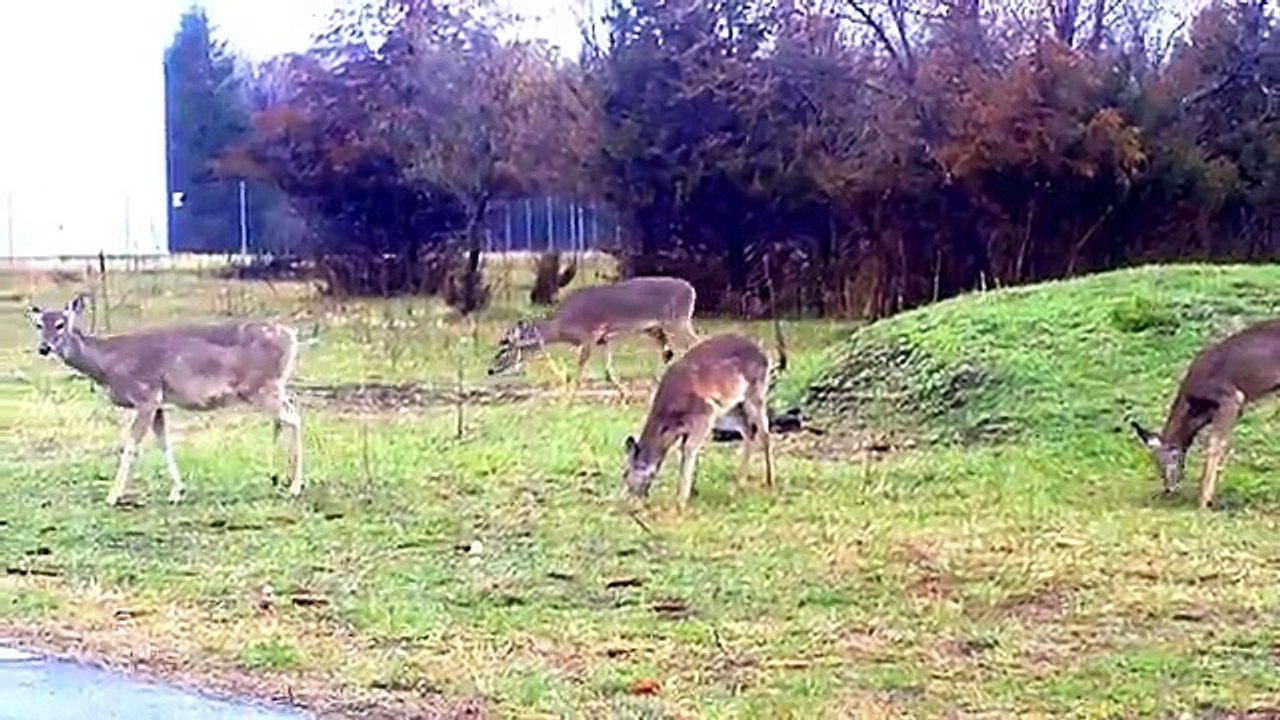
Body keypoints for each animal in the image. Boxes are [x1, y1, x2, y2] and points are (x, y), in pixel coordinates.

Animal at [28, 291, 305, 507]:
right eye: (39, 325)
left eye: (61, 323)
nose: (44, 348)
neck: (109, 364)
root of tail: (291, 336)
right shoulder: (159, 402)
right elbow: (164, 444)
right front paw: (177, 491)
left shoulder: (145, 395)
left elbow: (131, 447)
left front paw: (113, 496)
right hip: (271, 387)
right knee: (284, 418)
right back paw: (279, 478)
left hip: (260, 387)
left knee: (293, 418)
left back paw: (295, 485)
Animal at [487, 276, 700, 395]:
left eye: (505, 347)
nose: (490, 370)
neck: (561, 326)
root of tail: (691, 290)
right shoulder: (603, 339)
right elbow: (608, 371)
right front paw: (624, 393)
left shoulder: (590, 334)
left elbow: (581, 366)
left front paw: (570, 392)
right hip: (659, 328)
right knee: (671, 350)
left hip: (676, 321)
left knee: (695, 343)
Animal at [621, 314, 788, 512]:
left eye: (627, 472)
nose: (632, 496)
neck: (668, 421)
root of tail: (765, 355)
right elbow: (688, 450)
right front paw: (692, 491)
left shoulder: (704, 412)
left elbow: (689, 450)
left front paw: (681, 501)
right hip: (728, 409)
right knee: (748, 430)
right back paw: (738, 486)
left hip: (755, 392)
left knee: (764, 432)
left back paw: (769, 483)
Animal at [1129, 317, 1280, 510]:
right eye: (1155, 463)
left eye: (1172, 457)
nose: (1169, 487)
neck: (1195, 412)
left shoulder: (1232, 399)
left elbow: (1215, 445)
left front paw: (1204, 501)